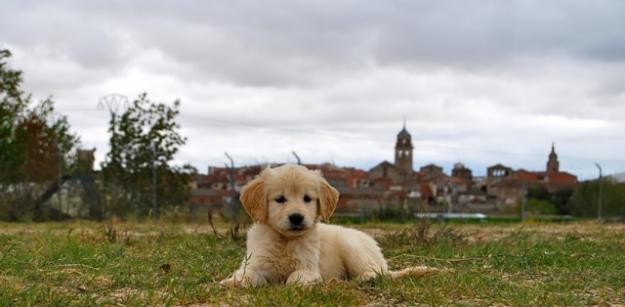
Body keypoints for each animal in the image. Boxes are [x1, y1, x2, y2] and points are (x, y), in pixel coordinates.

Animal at [219, 165, 438, 288]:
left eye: (307, 199)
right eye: (280, 199)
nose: (296, 218)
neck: (285, 240)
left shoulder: (308, 268)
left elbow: (295, 278)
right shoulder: (255, 263)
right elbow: (245, 275)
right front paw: (231, 282)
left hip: (353, 247)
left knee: (378, 273)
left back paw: (361, 279)